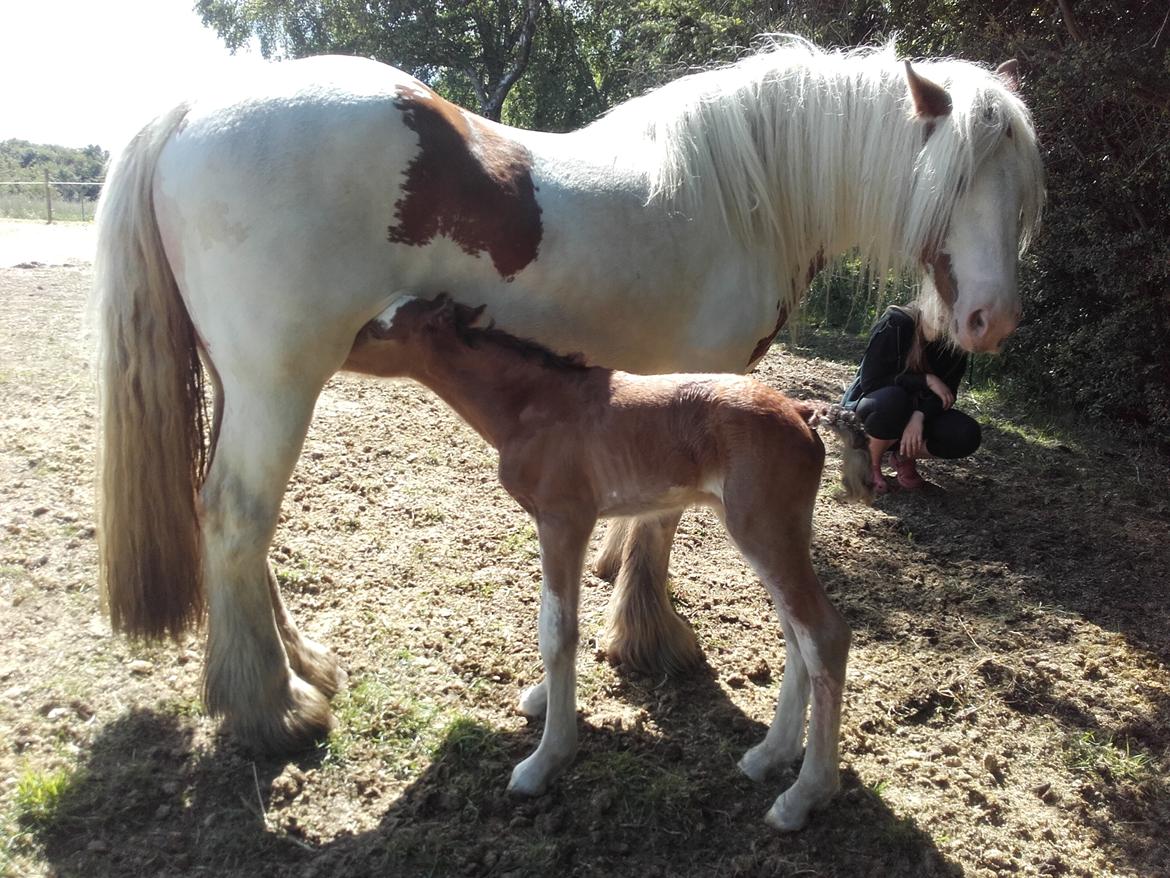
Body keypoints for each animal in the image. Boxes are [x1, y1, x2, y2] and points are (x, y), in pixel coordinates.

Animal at [91, 39, 1043, 758]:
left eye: (1023, 193)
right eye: (955, 179)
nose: (991, 321)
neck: (738, 194)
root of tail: (190, 112)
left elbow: (644, 513)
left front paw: (617, 584)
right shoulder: (704, 375)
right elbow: (663, 524)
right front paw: (652, 638)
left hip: (242, 383)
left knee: (231, 523)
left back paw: (301, 666)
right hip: (278, 381)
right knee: (237, 516)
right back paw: (272, 708)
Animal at [341, 296, 875, 833]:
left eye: (380, 329)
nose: (337, 353)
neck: (533, 407)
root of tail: (803, 411)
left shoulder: (563, 519)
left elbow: (556, 630)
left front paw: (545, 761)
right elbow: (564, 621)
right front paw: (542, 698)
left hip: (763, 529)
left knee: (824, 634)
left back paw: (802, 796)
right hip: (769, 534)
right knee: (796, 635)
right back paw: (768, 756)